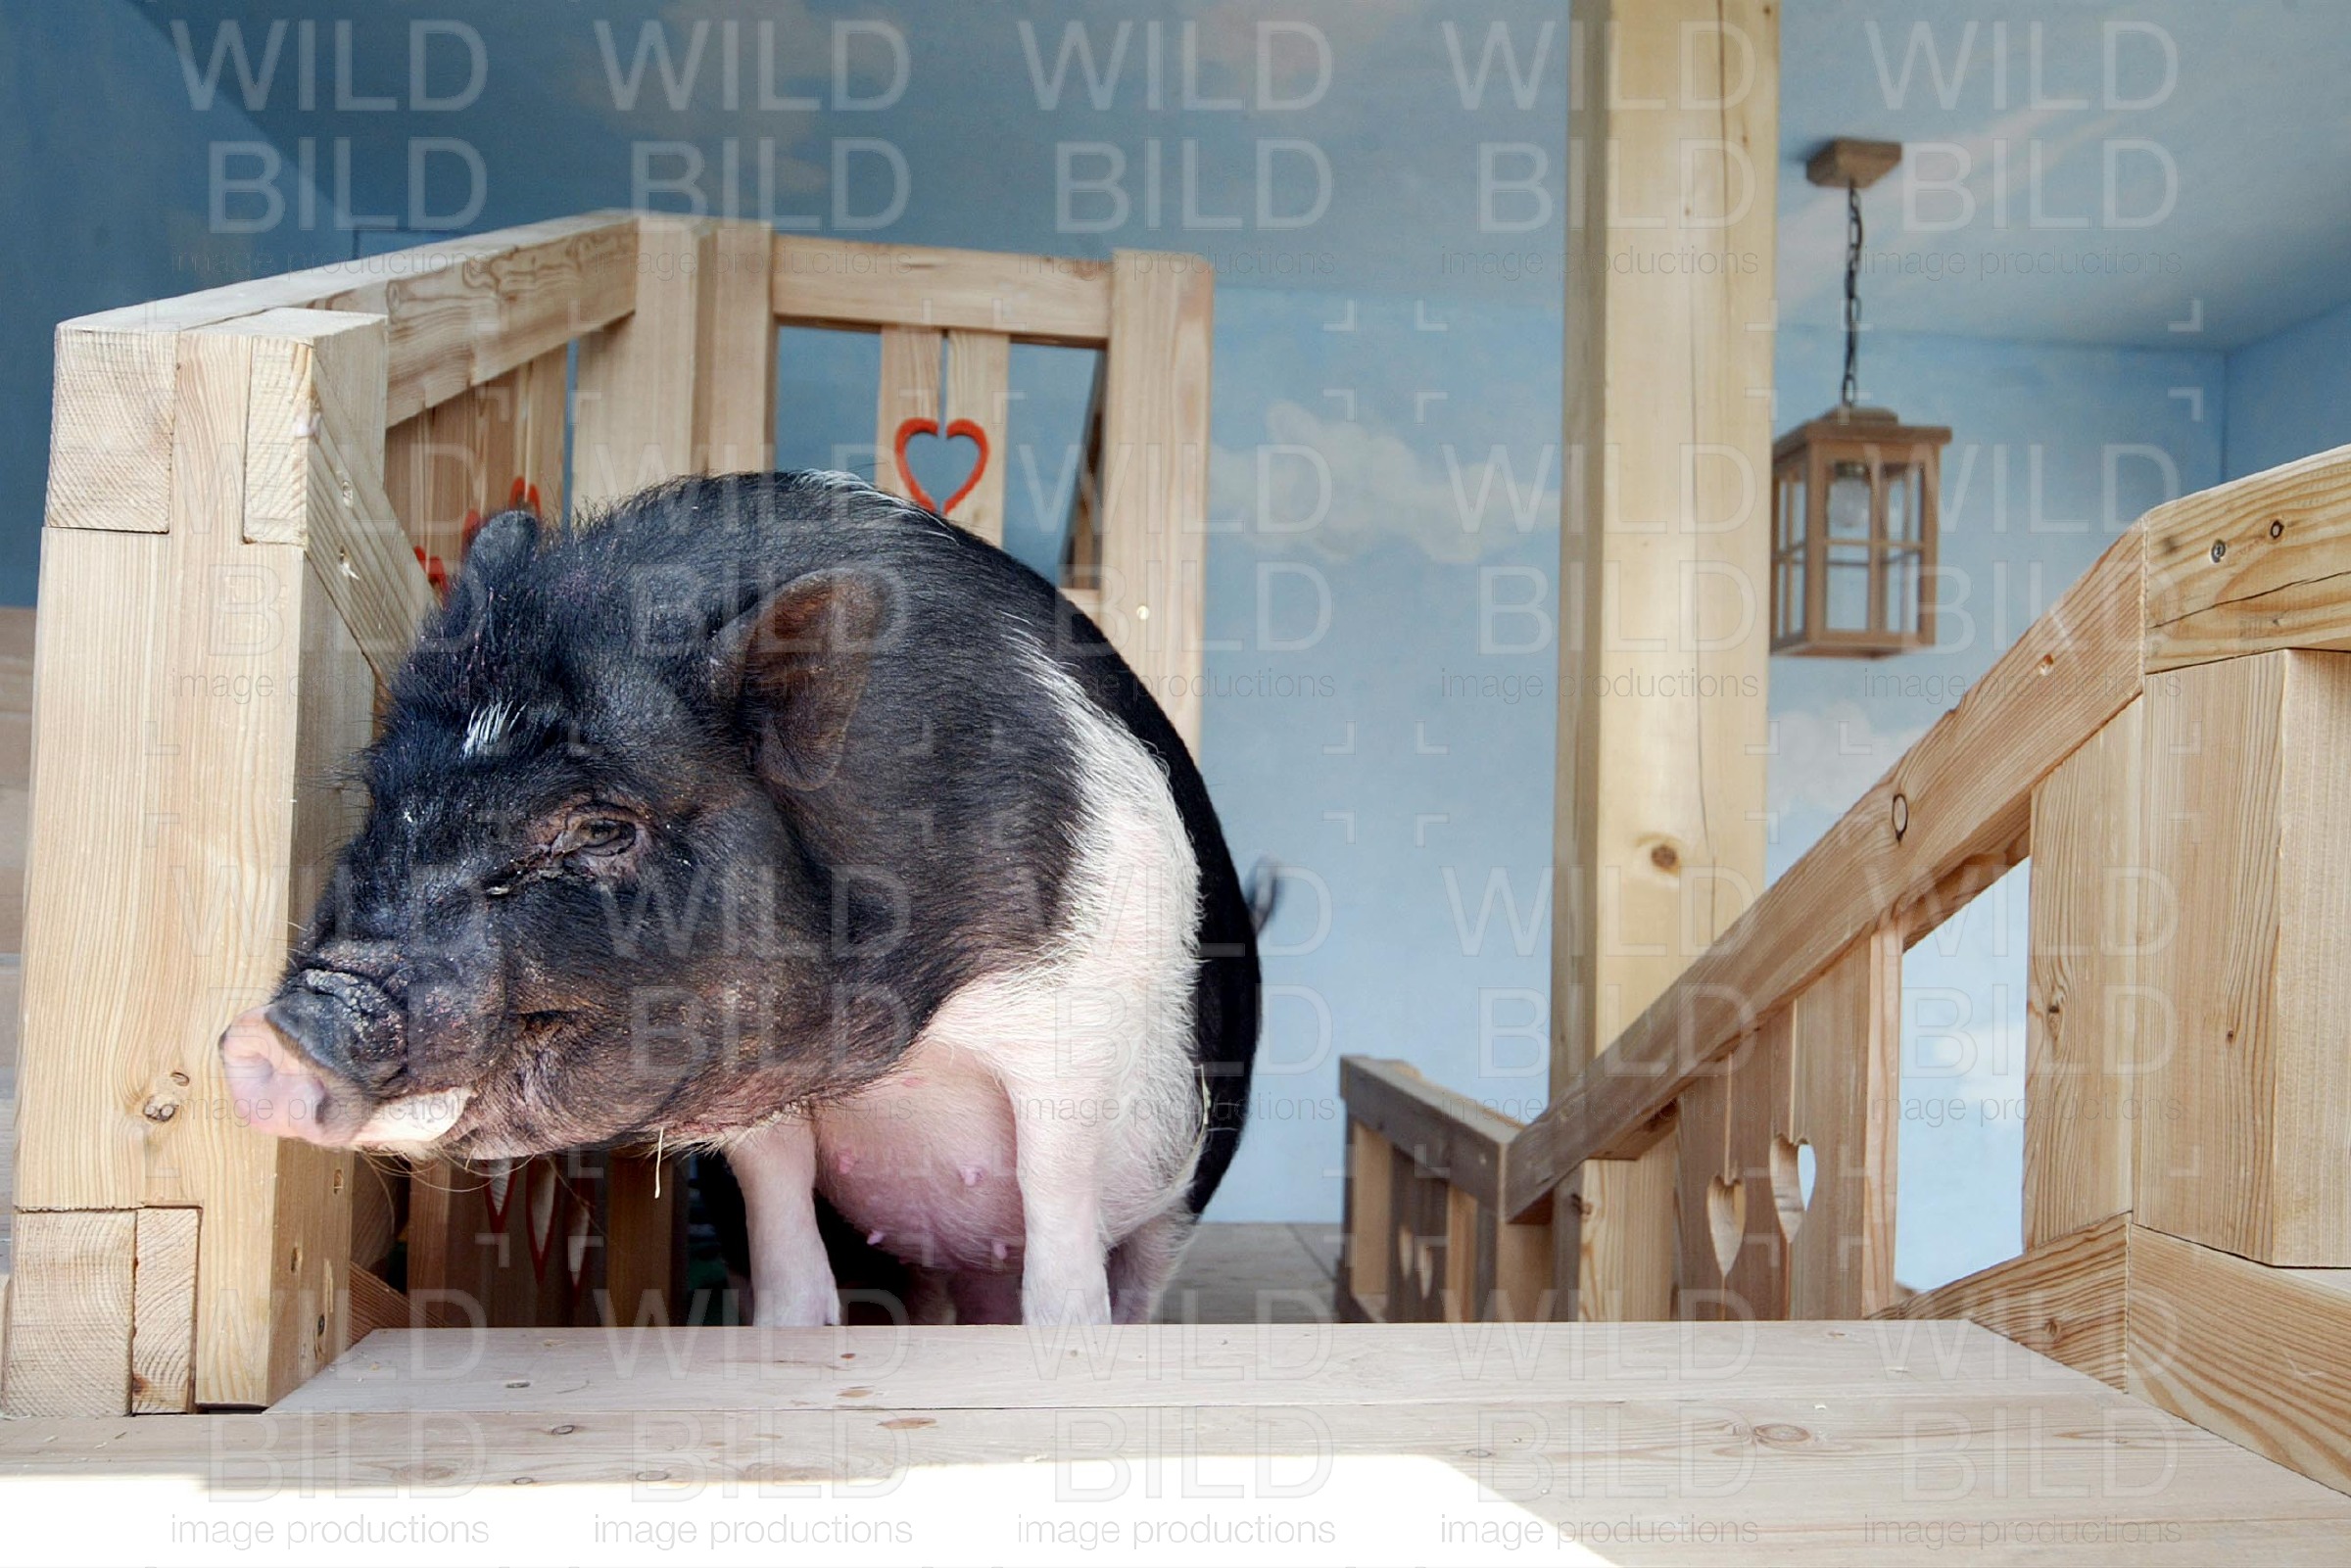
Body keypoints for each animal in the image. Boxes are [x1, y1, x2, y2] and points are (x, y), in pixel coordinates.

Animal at [217, 471, 1259, 1326]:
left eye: (601, 827)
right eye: (383, 791)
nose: (272, 1038)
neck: (905, 1038)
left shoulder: (1074, 1041)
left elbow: (1061, 1252)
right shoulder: (755, 1103)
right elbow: (788, 1250)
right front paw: (795, 1331)